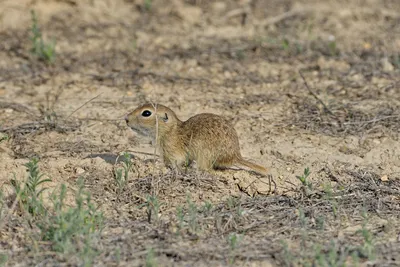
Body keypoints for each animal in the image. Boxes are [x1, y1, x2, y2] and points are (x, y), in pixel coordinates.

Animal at [125, 104, 268, 176]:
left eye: (146, 113)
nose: (126, 119)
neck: (171, 130)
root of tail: (235, 156)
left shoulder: (172, 152)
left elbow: (175, 163)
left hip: (203, 153)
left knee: (207, 169)